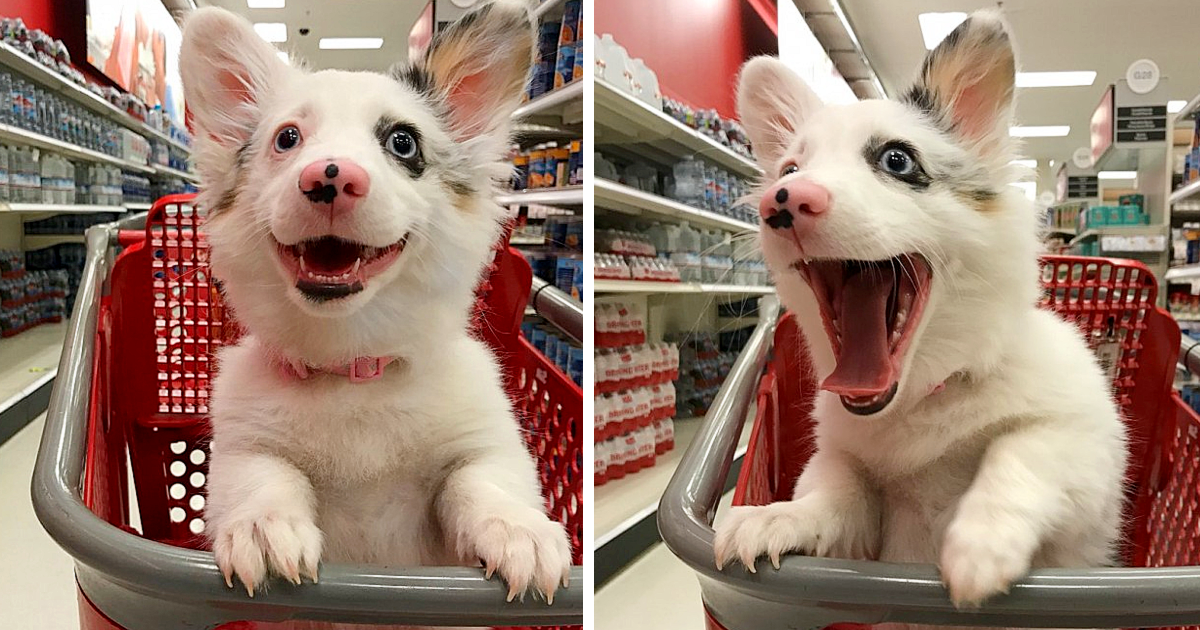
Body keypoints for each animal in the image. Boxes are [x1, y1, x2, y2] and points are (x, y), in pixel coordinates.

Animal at [176, 1, 571, 619]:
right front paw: (264, 524)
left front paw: (519, 530)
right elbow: (263, 475)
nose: (328, 175)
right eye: (287, 138)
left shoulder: (486, 446)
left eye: (403, 143)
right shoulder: (241, 448)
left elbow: (480, 481)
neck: (351, 367)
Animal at [715, 11, 1128, 614]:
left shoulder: (1088, 455)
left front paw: (980, 543)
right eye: (789, 167)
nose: (782, 200)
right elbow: (832, 491)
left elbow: (1020, 450)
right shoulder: (845, 474)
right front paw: (779, 517)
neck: (922, 394)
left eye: (897, 160)